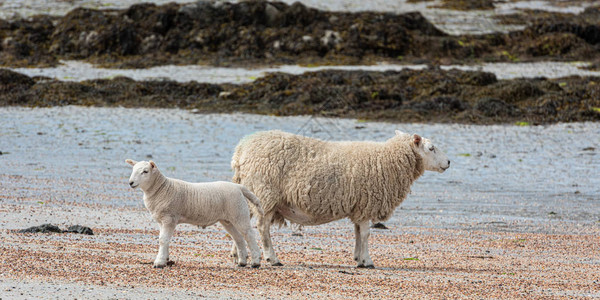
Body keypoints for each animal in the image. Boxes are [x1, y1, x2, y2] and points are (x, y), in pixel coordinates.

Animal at [126, 159, 262, 268]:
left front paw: (159, 262)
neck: (162, 189)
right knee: (239, 238)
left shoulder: (169, 218)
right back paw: (242, 262)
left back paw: (256, 262)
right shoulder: (161, 220)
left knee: (249, 235)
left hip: (239, 213)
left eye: (145, 171)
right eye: (133, 169)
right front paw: (166, 259)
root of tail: (239, 187)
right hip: (228, 220)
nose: (131, 183)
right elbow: (164, 239)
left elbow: (163, 240)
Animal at [232, 130, 452, 268]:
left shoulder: (359, 207)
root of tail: (241, 149)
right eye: (431, 148)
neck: (388, 160)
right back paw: (272, 258)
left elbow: (357, 233)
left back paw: (238, 256)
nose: (449, 162)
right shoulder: (366, 203)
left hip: (253, 192)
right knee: (262, 228)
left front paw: (358, 258)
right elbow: (366, 234)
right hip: (265, 193)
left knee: (243, 224)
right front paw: (367, 261)